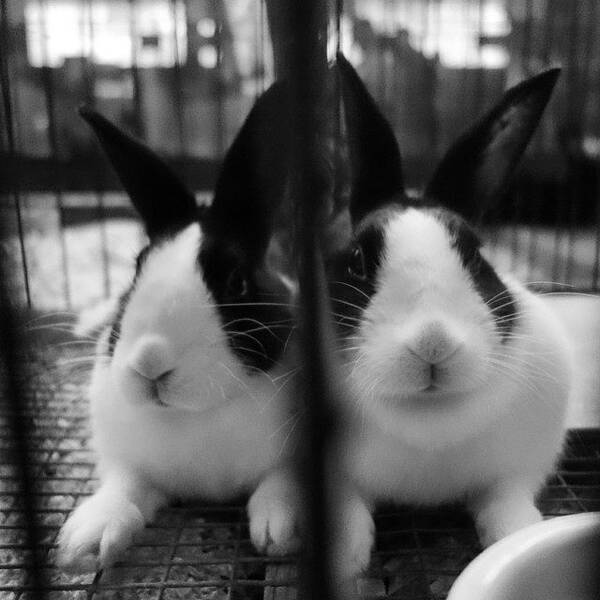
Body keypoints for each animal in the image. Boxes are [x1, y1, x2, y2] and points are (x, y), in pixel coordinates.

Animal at [56, 82, 302, 568]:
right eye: (136, 268)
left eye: (235, 281)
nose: (151, 361)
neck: (194, 416)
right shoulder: (128, 461)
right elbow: (125, 485)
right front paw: (85, 540)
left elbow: (280, 482)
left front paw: (282, 530)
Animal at [318, 55, 576, 576]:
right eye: (356, 260)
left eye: (476, 257)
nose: (432, 343)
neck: (429, 419)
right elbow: (348, 514)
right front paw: (346, 563)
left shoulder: (517, 469)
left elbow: (506, 505)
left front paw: (518, 537)